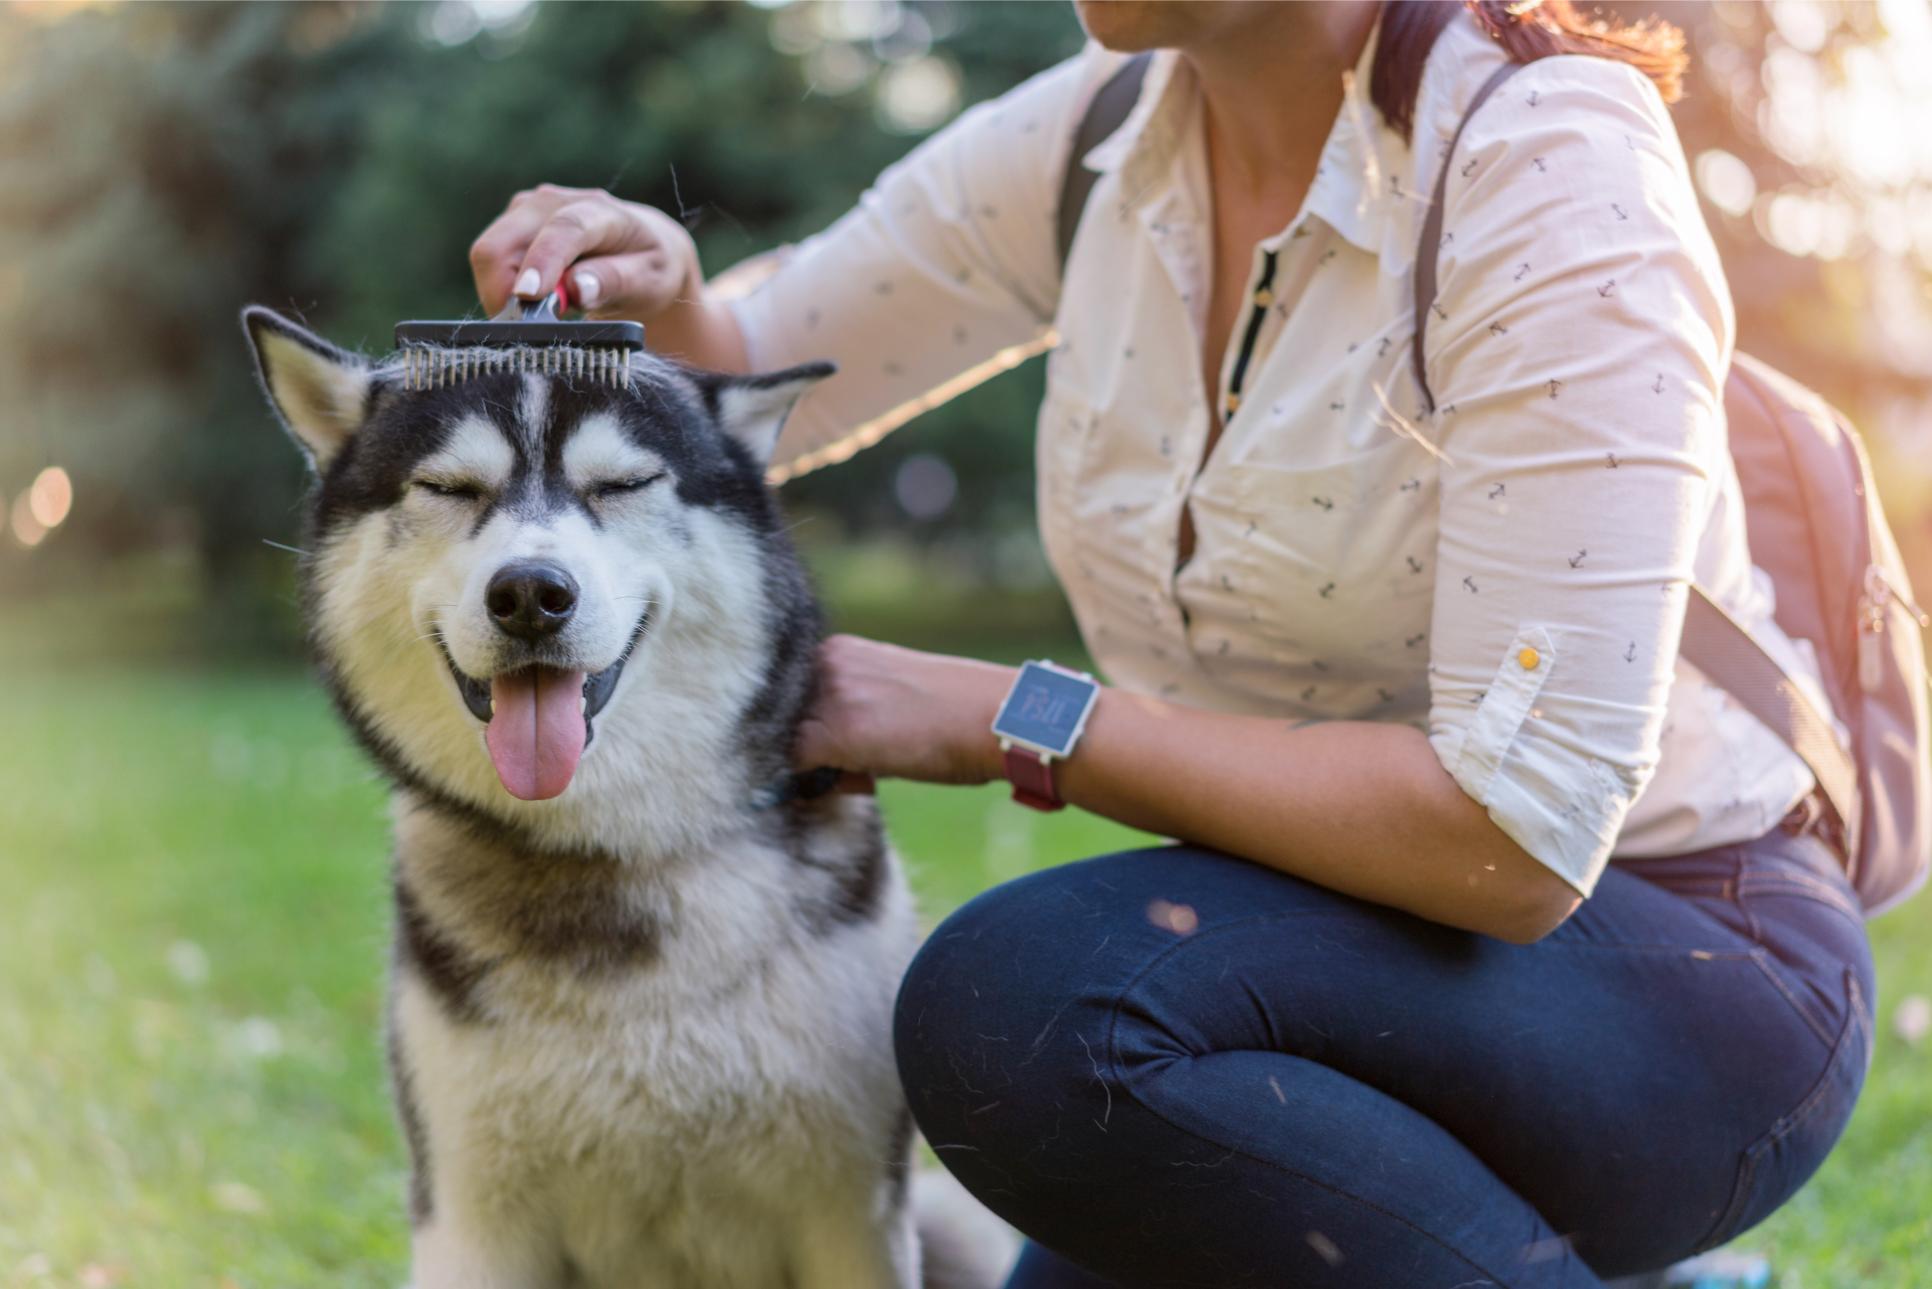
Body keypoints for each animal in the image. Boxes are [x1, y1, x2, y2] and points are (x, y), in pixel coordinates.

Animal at [241, 309, 1012, 1289]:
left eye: (623, 483)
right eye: (448, 487)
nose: (530, 593)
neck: (612, 851)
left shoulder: (854, 1208)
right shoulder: (469, 1216)